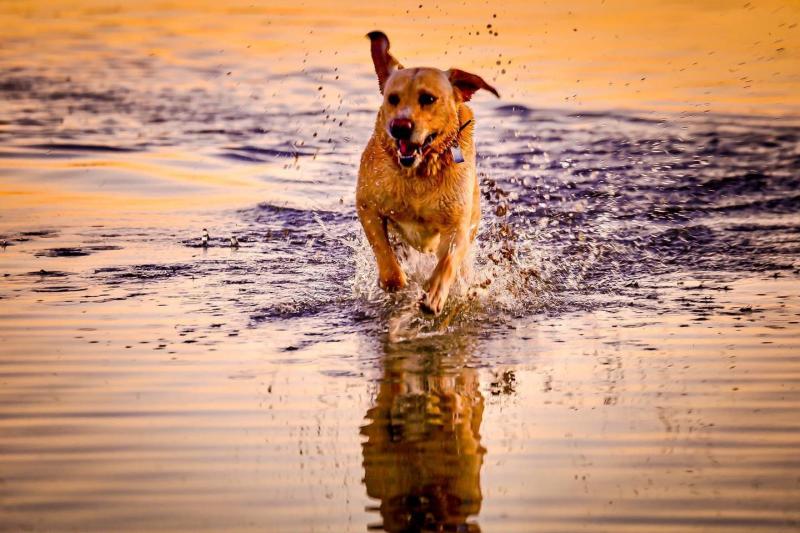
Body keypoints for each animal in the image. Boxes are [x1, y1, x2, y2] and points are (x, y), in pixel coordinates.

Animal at [358, 31, 496, 314]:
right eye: (393, 98)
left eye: (428, 99)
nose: (399, 126)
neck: (418, 174)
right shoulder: (367, 206)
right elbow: (383, 252)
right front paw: (396, 283)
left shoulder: (457, 225)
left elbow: (448, 262)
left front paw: (433, 295)